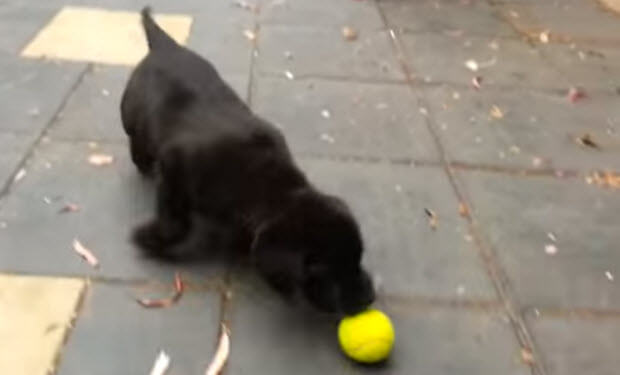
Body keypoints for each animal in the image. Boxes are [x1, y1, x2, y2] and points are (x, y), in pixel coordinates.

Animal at [120, 7, 372, 316]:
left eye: (358, 259)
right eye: (325, 271)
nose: (370, 297)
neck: (268, 187)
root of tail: (165, 47)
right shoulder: (173, 168)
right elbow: (173, 218)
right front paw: (152, 239)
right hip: (131, 115)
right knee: (137, 143)